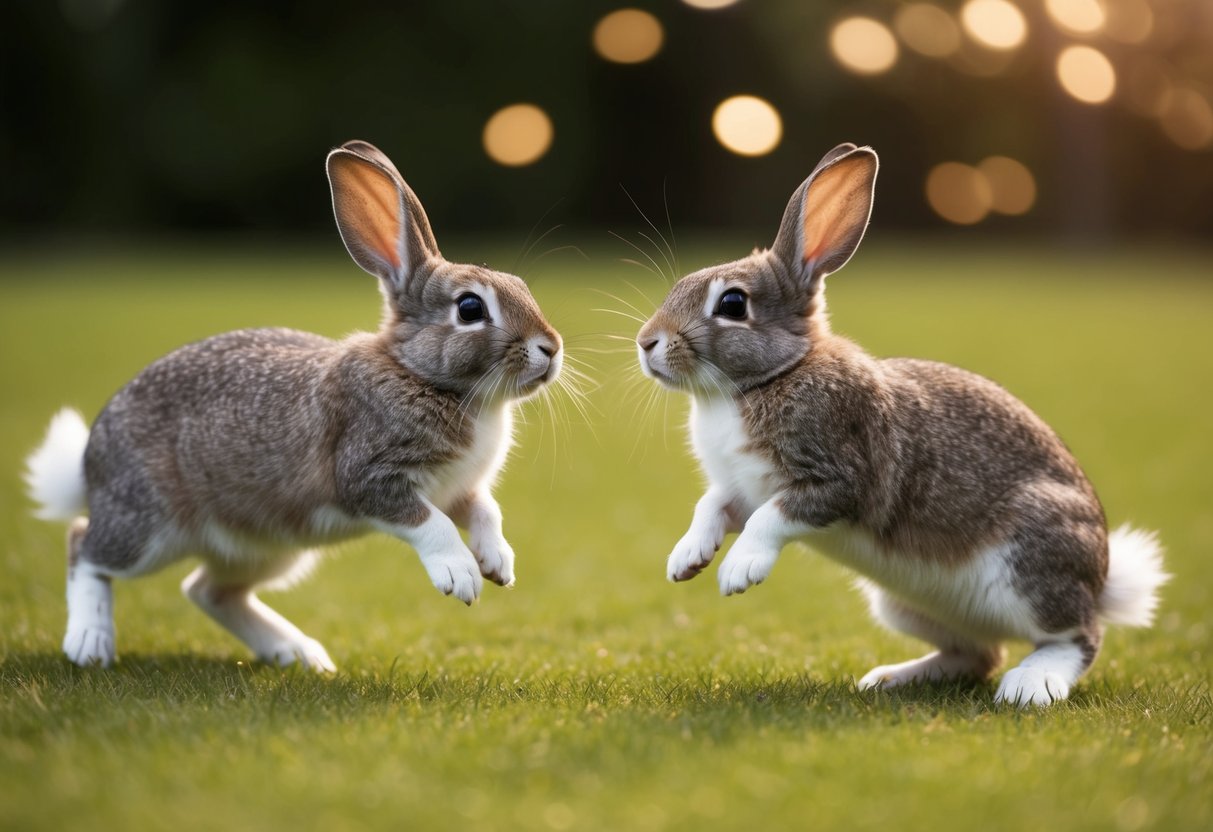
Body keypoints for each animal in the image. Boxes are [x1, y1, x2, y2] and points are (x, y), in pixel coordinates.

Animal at [24, 140, 563, 671]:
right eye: (470, 308)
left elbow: (485, 512)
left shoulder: (459, 488)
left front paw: (498, 563)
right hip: (149, 527)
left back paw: (298, 654)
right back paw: (90, 644)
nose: (551, 348)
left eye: (521, 287)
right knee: (84, 546)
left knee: (209, 591)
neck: (420, 373)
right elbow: (430, 524)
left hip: (267, 547)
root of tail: (89, 466)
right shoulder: (370, 476)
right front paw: (462, 575)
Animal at [636, 143, 1167, 706]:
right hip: (903, 605)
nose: (647, 342)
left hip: (1031, 566)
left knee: (1077, 637)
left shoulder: (838, 476)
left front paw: (739, 571)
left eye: (733, 304)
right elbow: (711, 506)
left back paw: (1030, 685)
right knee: (978, 654)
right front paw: (686, 559)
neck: (771, 376)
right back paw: (891, 678)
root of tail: (1102, 579)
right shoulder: (739, 488)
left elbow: (771, 518)